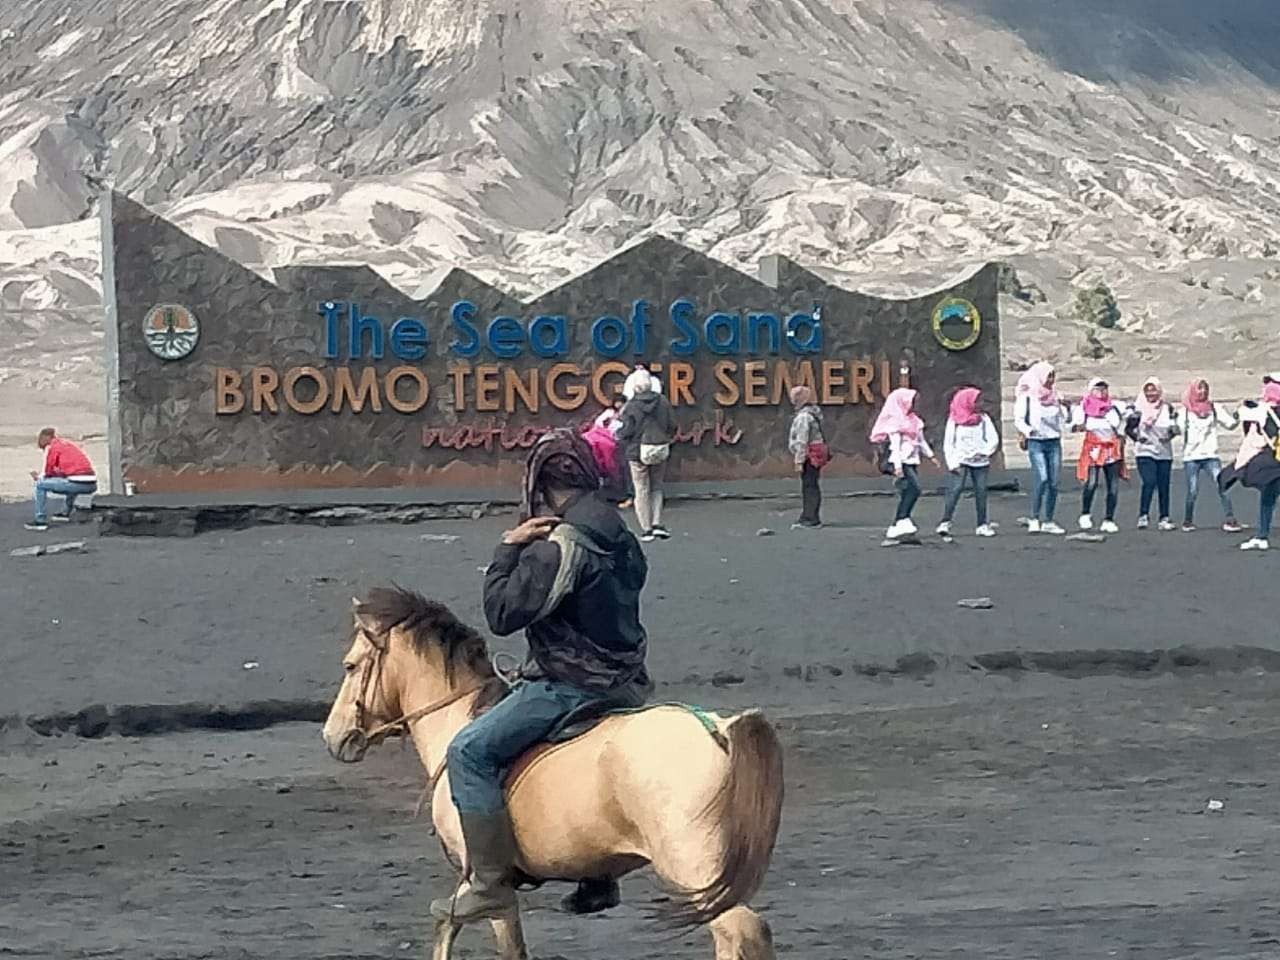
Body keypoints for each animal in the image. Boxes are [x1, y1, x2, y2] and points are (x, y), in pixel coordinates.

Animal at [322, 586, 778, 960]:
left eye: (349, 666)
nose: (332, 736)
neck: (459, 719)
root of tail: (719, 729)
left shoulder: (489, 887)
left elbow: (464, 930)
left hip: (693, 870)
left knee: (741, 933)